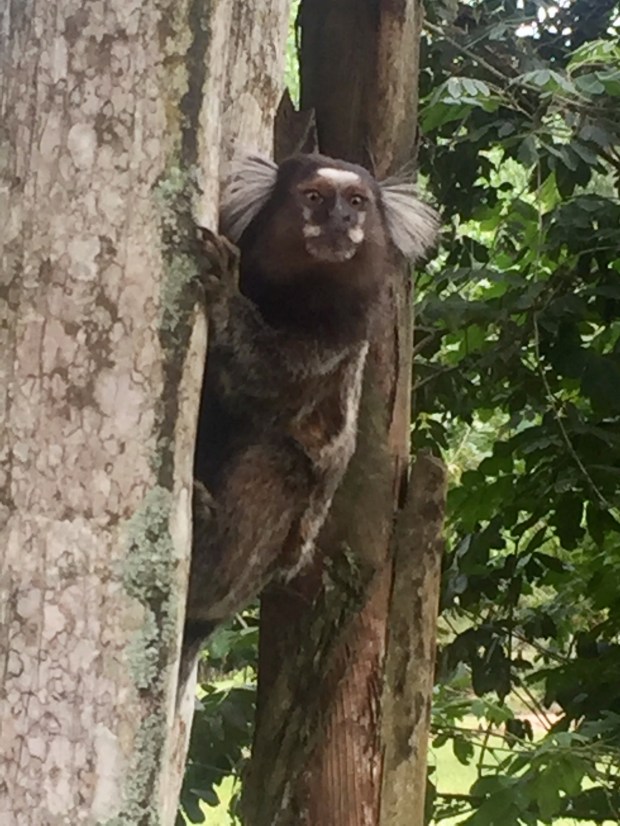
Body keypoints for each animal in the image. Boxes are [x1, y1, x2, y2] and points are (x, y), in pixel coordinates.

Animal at [184, 153, 439, 655]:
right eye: (315, 197)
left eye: (357, 202)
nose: (340, 219)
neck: (295, 294)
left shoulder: (340, 336)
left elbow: (271, 383)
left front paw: (224, 296)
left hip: (264, 564)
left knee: (278, 466)